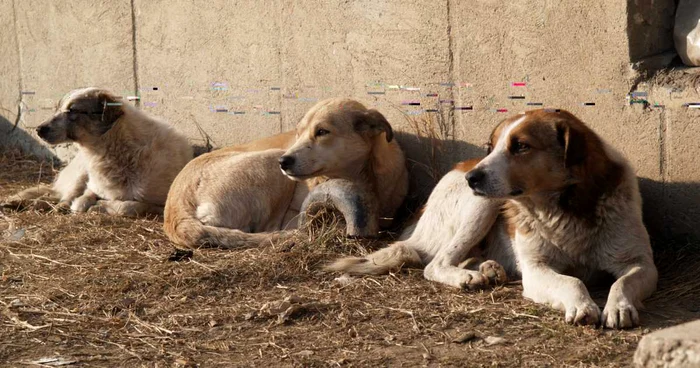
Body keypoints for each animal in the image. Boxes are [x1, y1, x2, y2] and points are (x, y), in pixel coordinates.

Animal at [1, 87, 193, 217]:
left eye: (72, 110)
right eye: (59, 108)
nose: (38, 130)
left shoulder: (161, 205)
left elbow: (128, 206)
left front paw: (100, 206)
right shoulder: (92, 186)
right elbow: (81, 201)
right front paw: (89, 204)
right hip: (80, 175)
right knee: (59, 197)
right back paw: (22, 204)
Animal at [163, 98, 410, 249]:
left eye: (322, 132)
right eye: (299, 133)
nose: (284, 162)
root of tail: (175, 210)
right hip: (271, 161)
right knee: (269, 230)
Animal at [328, 109, 656, 330]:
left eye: (521, 146)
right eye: (492, 145)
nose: (473, 179)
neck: (565, 210)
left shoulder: (641, 263)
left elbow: (622, 282)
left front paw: (619, 306)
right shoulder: (536, 270)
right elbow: (571, 280)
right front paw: (582, 304)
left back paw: (489, 269)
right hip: (483, 206)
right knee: (436, 264)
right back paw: (468, 277)